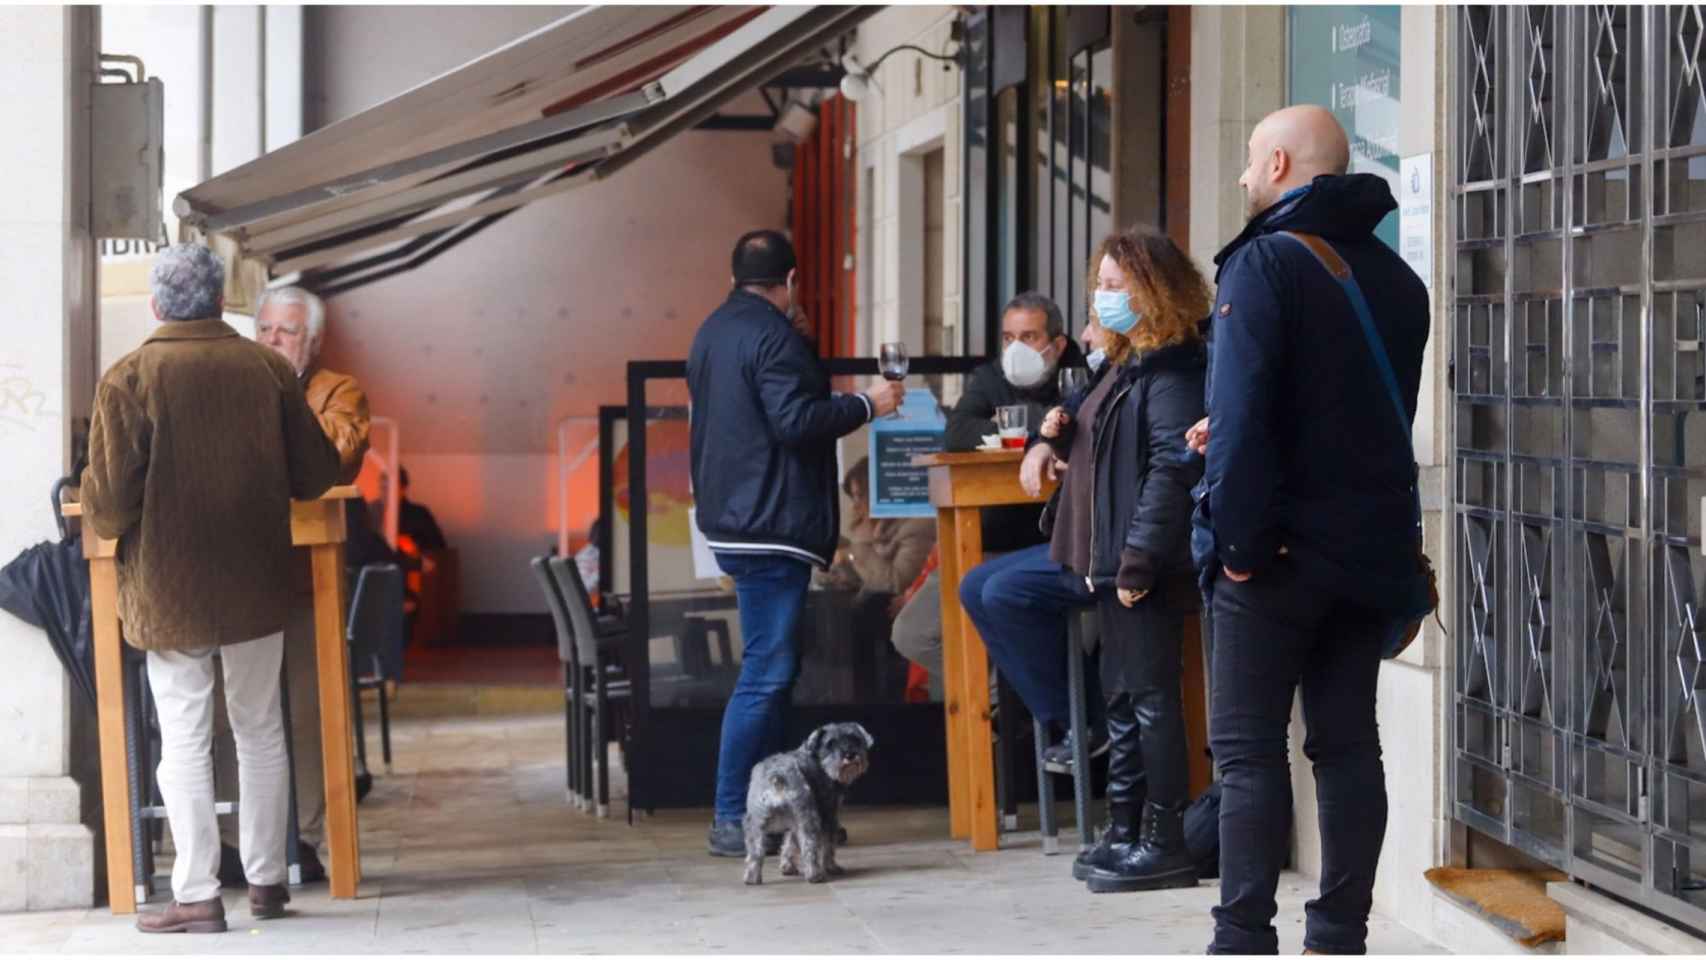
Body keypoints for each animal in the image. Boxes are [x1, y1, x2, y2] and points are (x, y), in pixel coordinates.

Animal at [740, 722, 873, 886]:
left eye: (855, 738)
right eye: (830, 743)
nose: (850, 755)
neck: (819, 761)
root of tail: (777, 777)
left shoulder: (793, 824)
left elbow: (789, 844)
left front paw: (787, 867)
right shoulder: (828, 815)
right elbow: (828, 846)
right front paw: (832, 867)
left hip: (755, 824)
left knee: (755, 853)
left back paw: (752, 878)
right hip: (808, 819)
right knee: (810, 849)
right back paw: (815, 875)